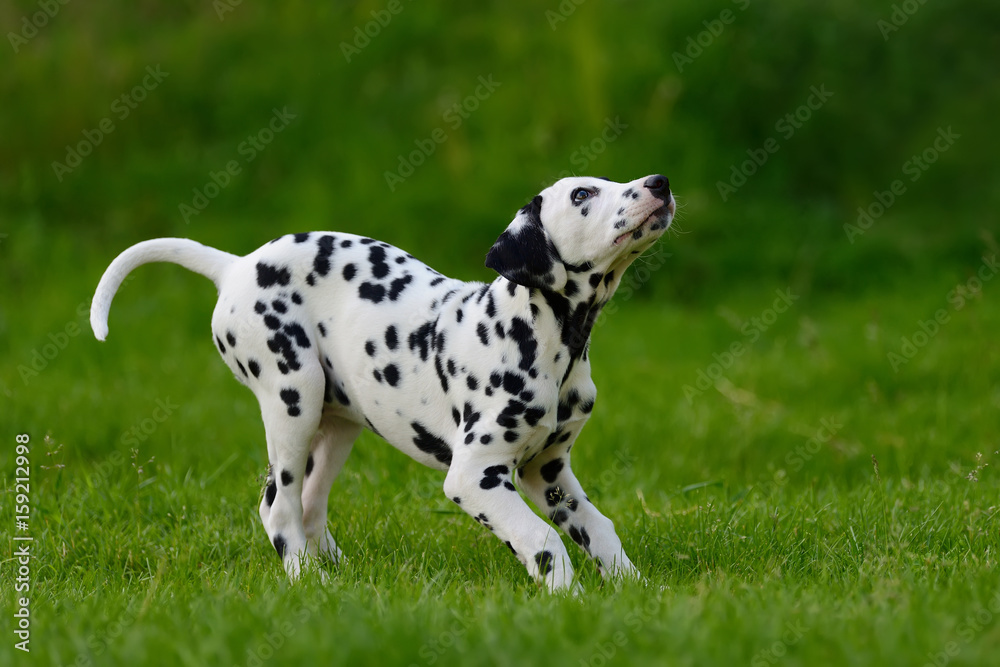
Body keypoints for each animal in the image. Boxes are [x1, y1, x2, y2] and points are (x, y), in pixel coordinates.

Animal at [90, 175, 676, 592]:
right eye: (582, 194)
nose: (660, 182)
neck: (547, 339)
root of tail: (236, 266)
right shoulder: (475, 476)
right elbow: (542, 538)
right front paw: (564, 597)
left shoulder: (547, 472)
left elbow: (597, 528)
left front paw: (633, 592)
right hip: (292, 397)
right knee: (278, 505)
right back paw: (308, 581)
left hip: (336, 425)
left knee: (309, 504)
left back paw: (342, 576)